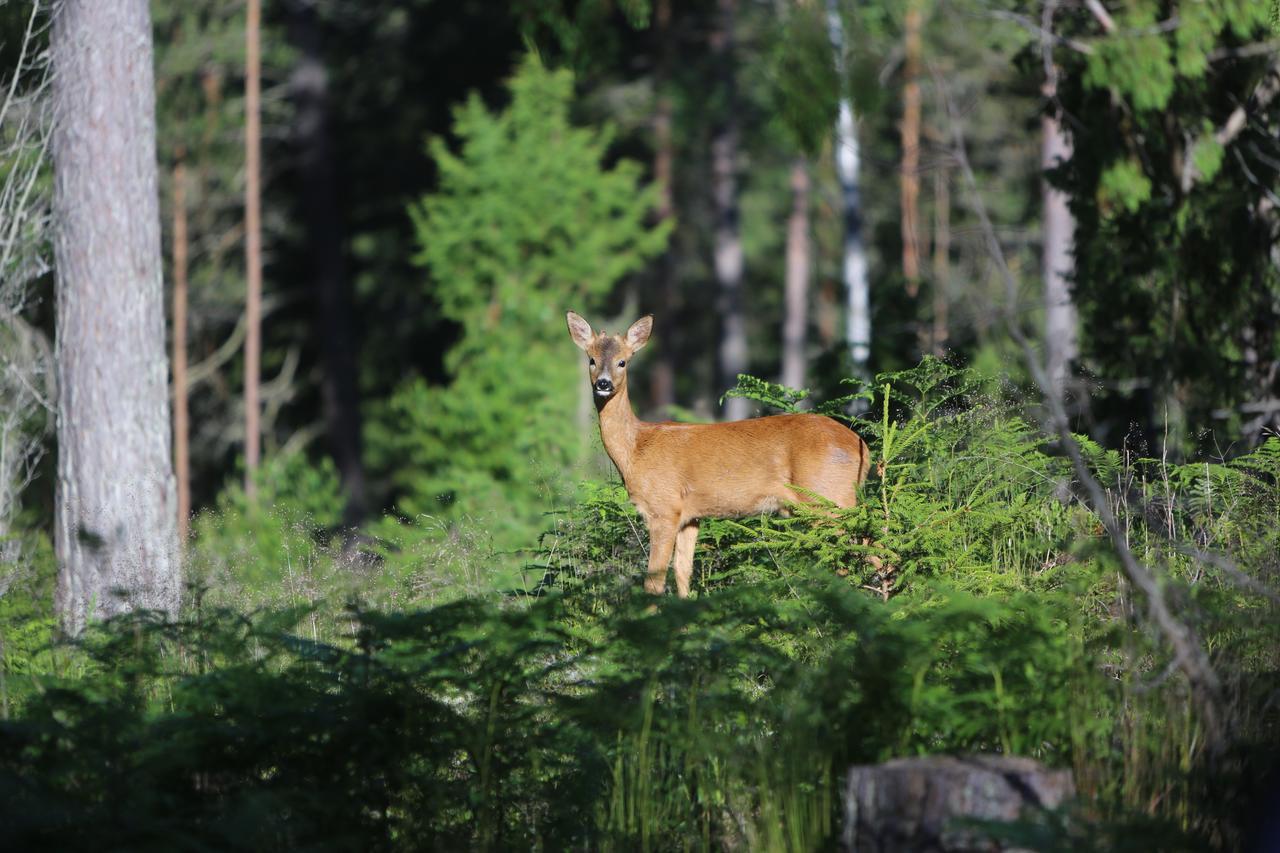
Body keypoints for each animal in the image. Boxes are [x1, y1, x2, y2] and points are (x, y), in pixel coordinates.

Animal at [568, 308, 870, 594]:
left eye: (623, 361)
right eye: (591, 359)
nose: (603, 383)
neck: (635, 450)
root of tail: (862, 447)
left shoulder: (664, 508)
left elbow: (654, 581)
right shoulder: (690, 516)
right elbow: (683, 572)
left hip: (828, 498)